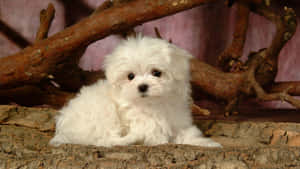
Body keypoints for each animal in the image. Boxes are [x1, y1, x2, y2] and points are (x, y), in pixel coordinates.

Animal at [49, 36, 220, 148]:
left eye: (156, 73)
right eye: (130, 76)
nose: (142, 86)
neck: (154, 103)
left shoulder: (177, 119)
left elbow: (186, 133)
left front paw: (206, 143)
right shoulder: (140, 120)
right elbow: (154, 132)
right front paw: (159, 139)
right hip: (102, 111)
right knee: (105, 140)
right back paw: (131, 138)